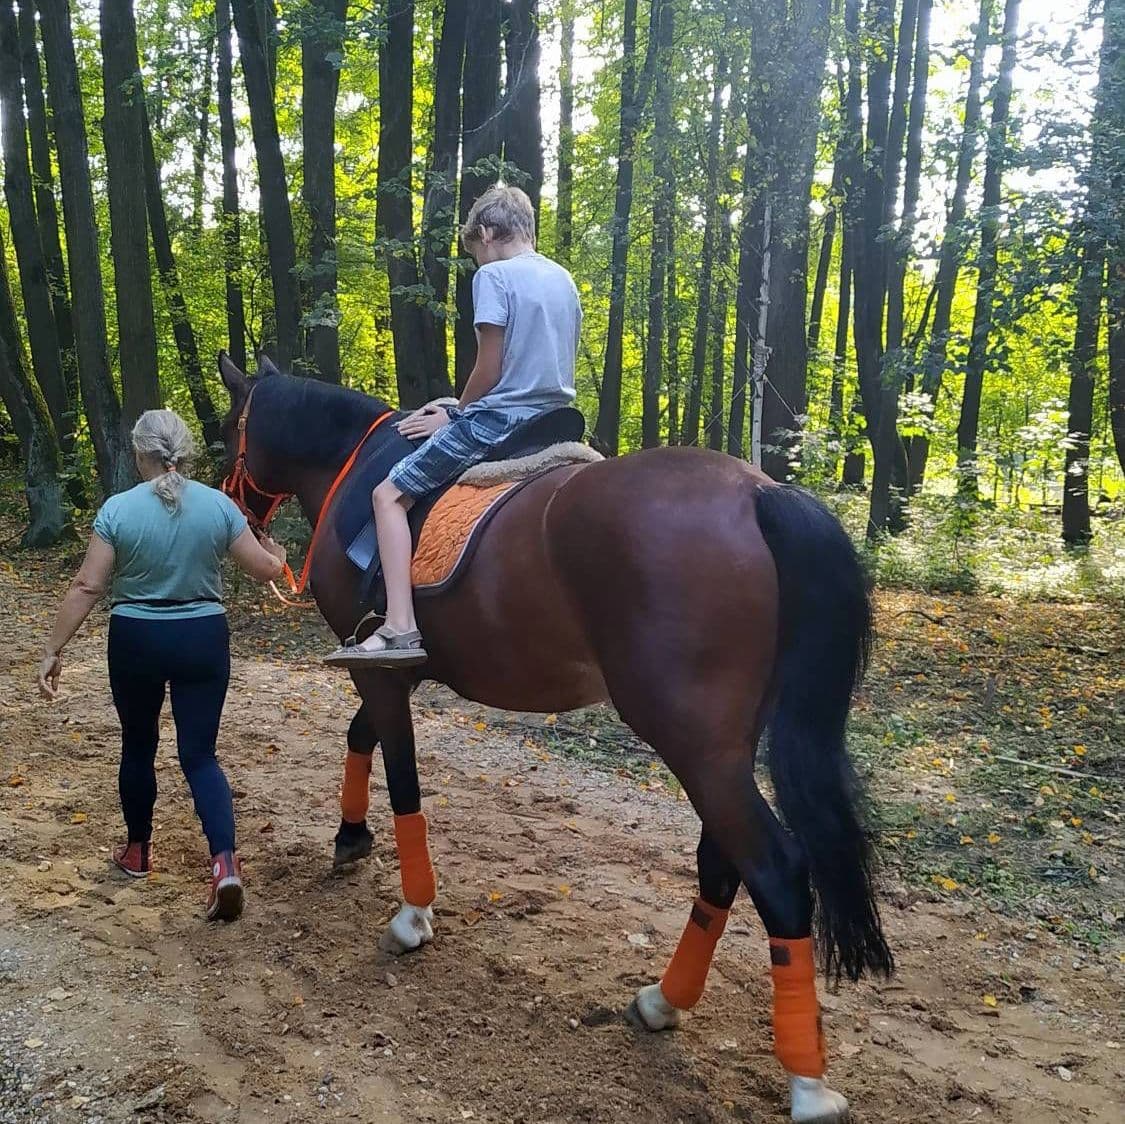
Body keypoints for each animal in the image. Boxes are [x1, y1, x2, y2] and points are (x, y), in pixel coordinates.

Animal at [217, 353, 886, 1124]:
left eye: (229, 424)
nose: (234, 506)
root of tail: (758, 492)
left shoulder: (380, 669)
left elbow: (402, 776)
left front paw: (413, 914)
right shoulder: (390, 669)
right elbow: (363, 738)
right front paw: (350, 837)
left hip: (693, 742)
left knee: (773, 869)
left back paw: (806, 1084)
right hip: (725, 746)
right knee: (724, 862)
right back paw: (664, 1000)